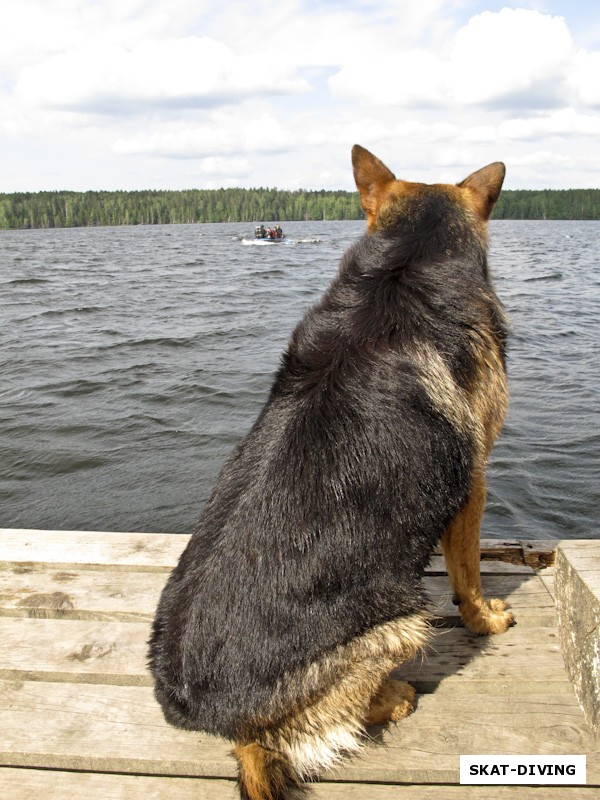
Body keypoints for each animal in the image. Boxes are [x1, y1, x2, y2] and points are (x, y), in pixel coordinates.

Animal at [148, 145, 512, 800]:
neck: (404, 265)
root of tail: (236, 732)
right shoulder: (474, 480)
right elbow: (469, 573)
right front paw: (486, 620)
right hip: (401, 621)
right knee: (343, 714)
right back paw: (395, 695)